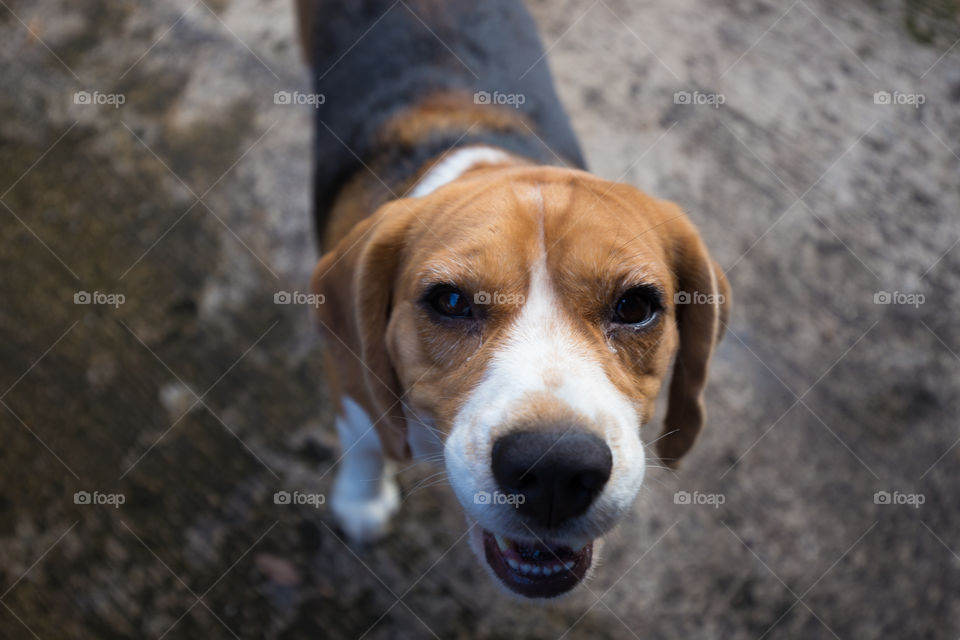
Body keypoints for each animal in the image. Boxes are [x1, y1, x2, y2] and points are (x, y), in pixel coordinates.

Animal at [300, 0, 728, 600]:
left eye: (635, 307)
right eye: (450, 300)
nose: (554, 470)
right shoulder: (350, 379)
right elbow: (364, 440)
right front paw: (360, 503)